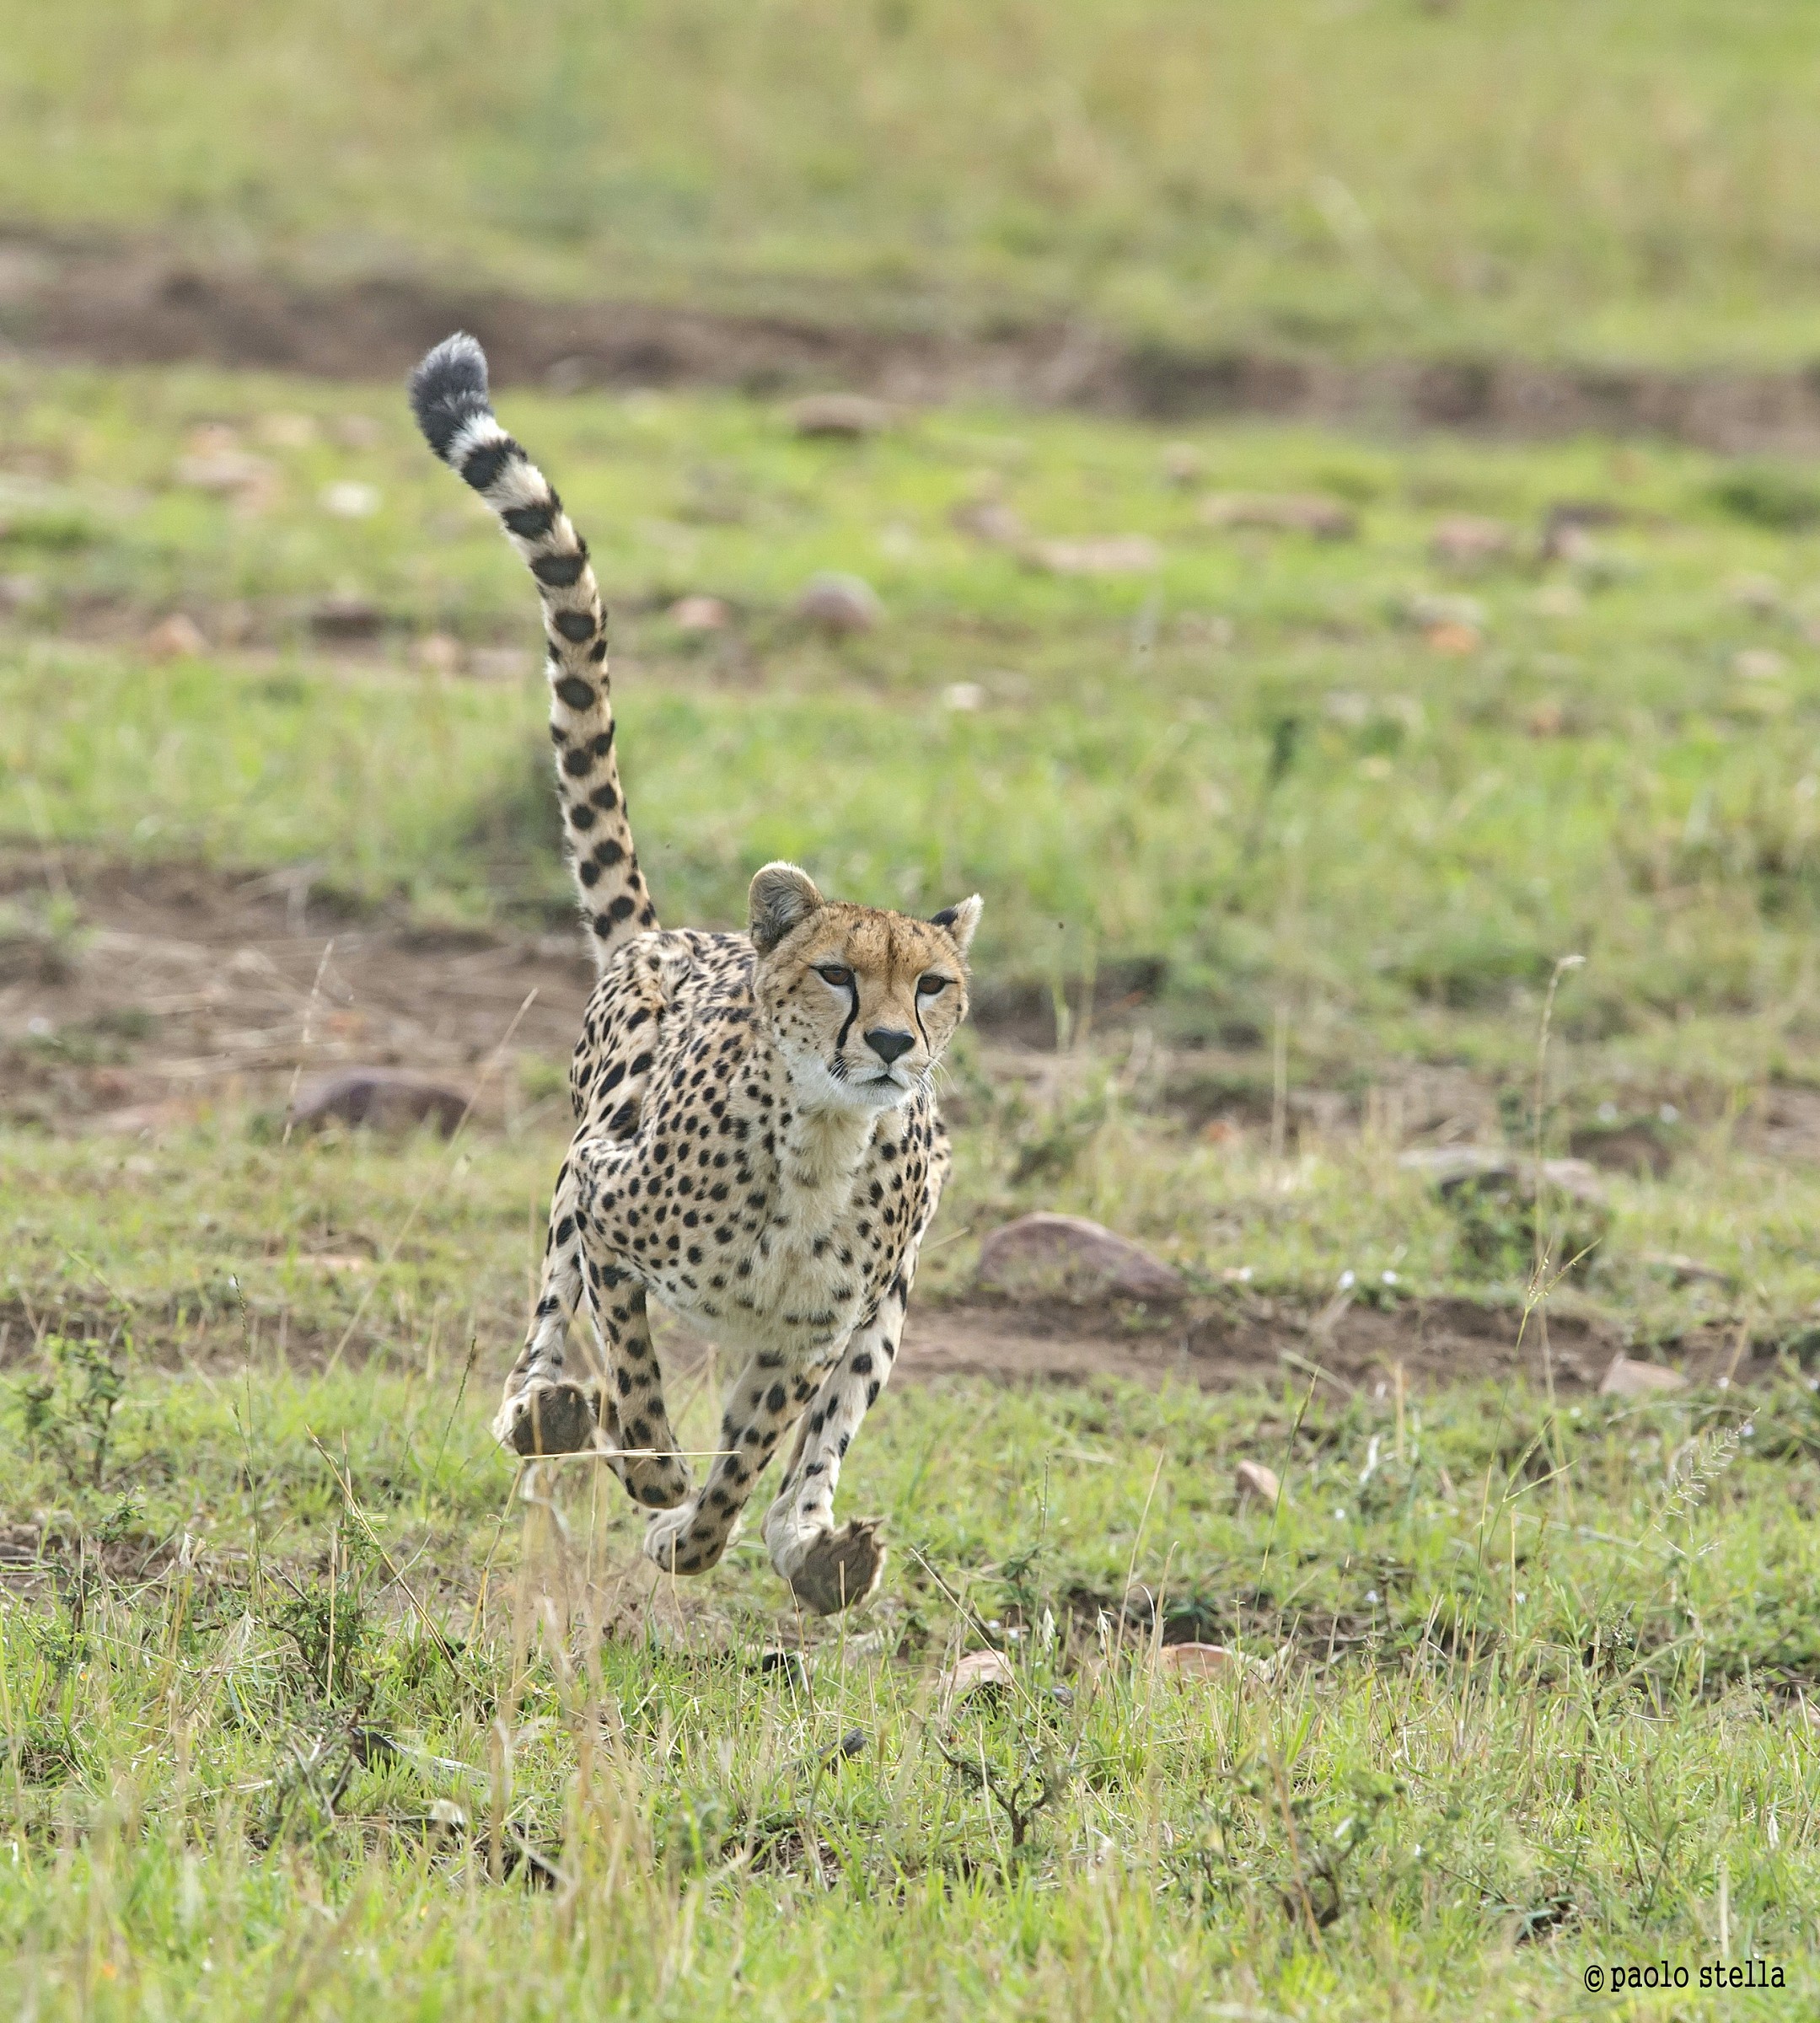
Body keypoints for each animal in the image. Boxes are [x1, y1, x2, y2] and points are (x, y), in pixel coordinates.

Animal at [408, 333, 981, 1614]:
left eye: (930, 987)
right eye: (836, 975)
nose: (889, 1045)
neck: (816, 1149)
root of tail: (670, 938)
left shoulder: (806, 1334)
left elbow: (752, 1451)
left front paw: (694, 1532)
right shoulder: (607, 1203)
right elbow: (630, 1366)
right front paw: (643, 1462)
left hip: (886, 1309)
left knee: (817, 1445)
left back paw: (818, 1550)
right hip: (582, 1157)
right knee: (549, 1313)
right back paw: (539, 1409)